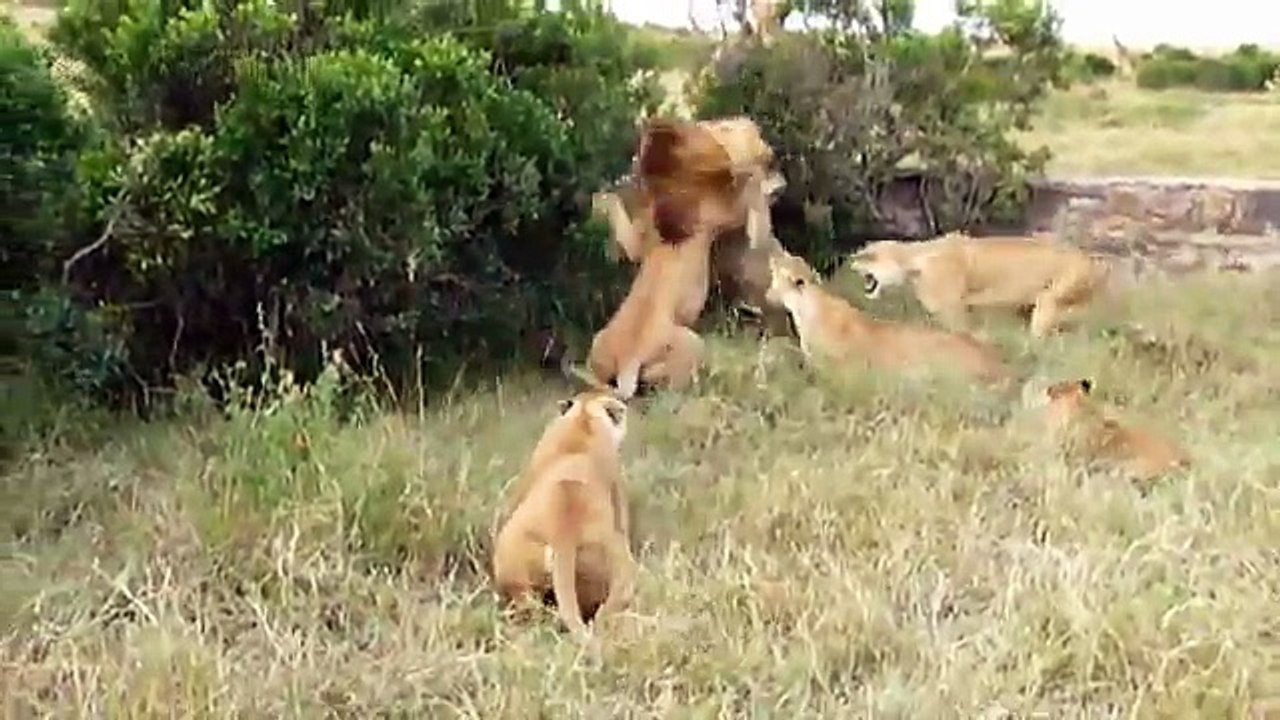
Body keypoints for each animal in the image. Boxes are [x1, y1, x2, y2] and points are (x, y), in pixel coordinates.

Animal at [846, 232, 1109, 338]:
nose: (852, 262)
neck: (912, 261)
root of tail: (1091, 262)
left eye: (867, 256)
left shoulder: (953, 309)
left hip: (1050, 298)